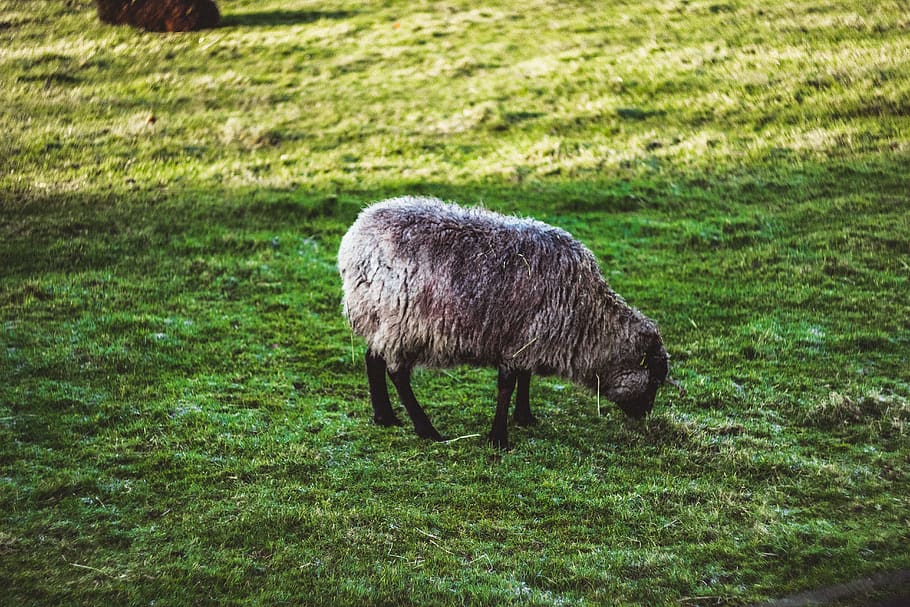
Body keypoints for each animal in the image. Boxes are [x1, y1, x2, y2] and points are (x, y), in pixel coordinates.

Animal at [338, 196, 676, 449]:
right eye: (654, 379)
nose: (644, 415)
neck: (587, 318)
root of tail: (355, 236)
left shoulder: (528, 338)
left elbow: (525, 378)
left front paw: (524, 417)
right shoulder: (518, 338)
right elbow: (507, 384)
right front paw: (499, 437)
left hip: (378, 317)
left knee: (372, 358)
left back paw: (385, 417)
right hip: (402, 323)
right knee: (397, 373)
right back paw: (426, 429)